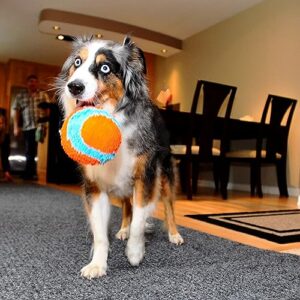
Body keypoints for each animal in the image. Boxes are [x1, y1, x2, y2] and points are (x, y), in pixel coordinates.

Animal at [56, 37, 183, 278]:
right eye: (77, 62)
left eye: (105, 68)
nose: (74, 87)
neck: (112, 114)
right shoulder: (94, 185)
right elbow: (100, 232)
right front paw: (97, 264)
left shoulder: (145, 176)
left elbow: (140, 217)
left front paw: (134, 252)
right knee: (126, 206)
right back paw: (124, 229)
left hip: (165, 172)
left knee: (169, 205)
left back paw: (174, 234)